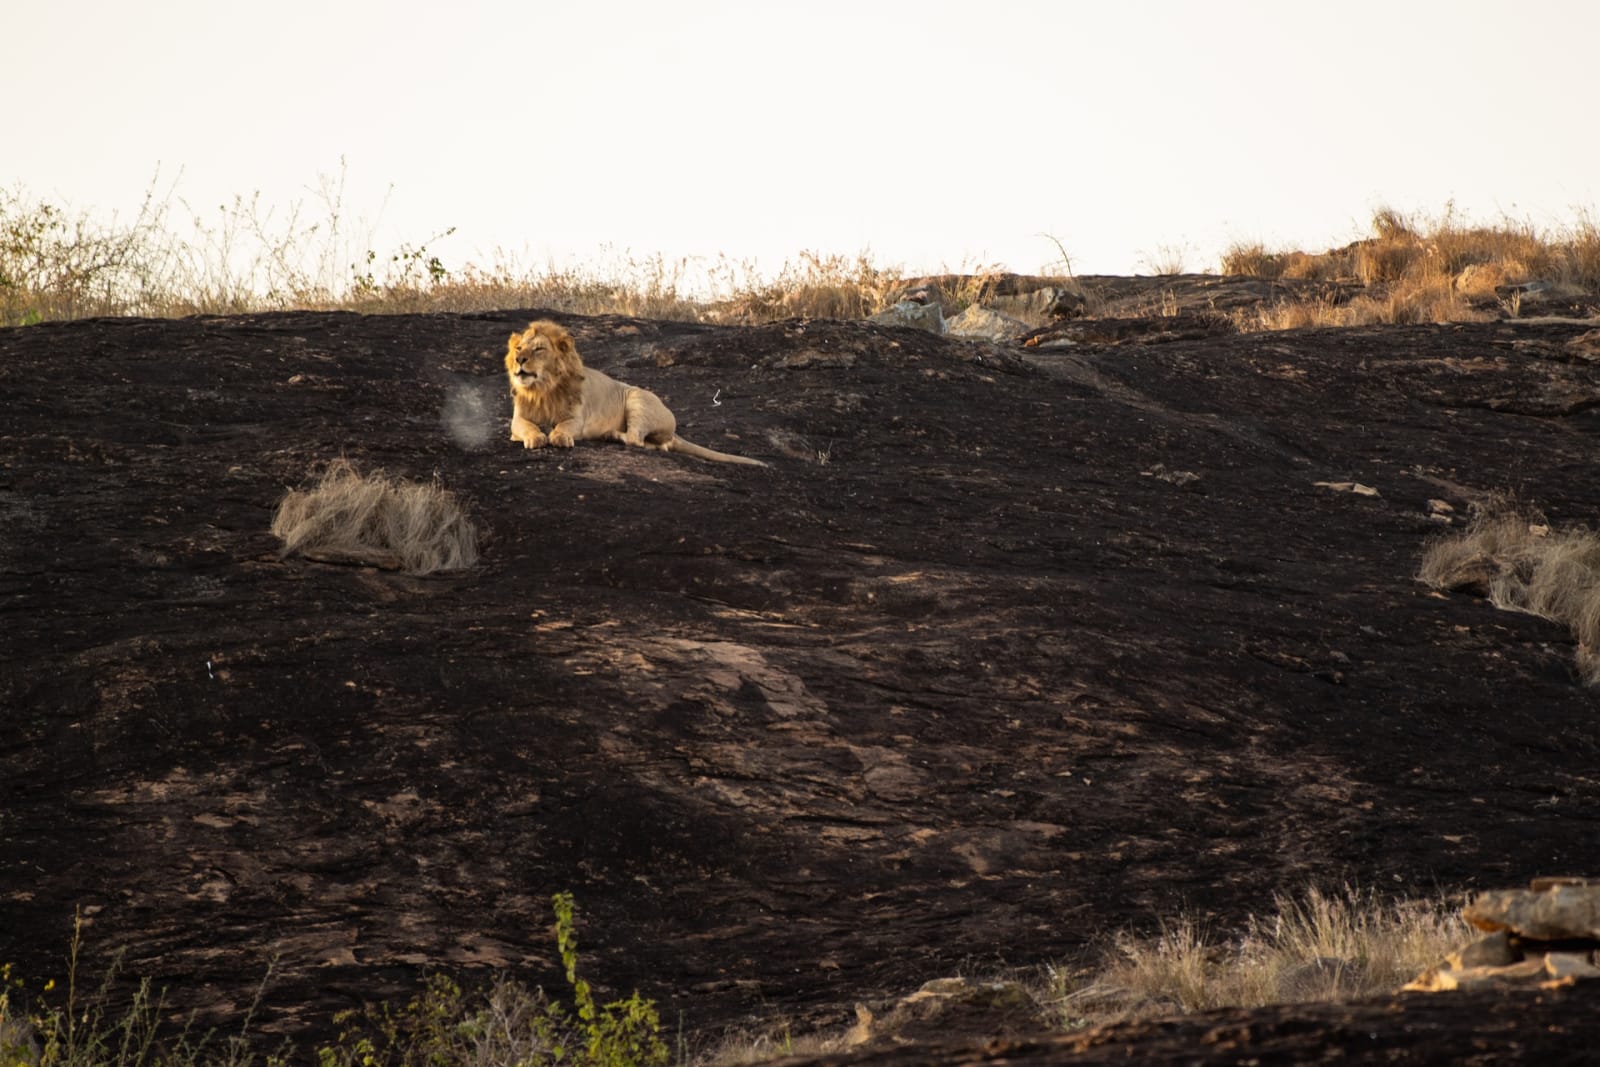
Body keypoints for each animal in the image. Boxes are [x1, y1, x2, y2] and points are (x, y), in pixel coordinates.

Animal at [504, 320, 767, 467]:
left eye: (538, 349)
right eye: (519, 348)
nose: (519, 360)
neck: (542, 389)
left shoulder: (577, 417)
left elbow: (565, 426)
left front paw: (558, 437)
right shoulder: (518, 418)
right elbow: (526, 427)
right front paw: (534, 437)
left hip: (637, 399)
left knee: (635, 439)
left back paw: (611, 435)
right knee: (656, 446)